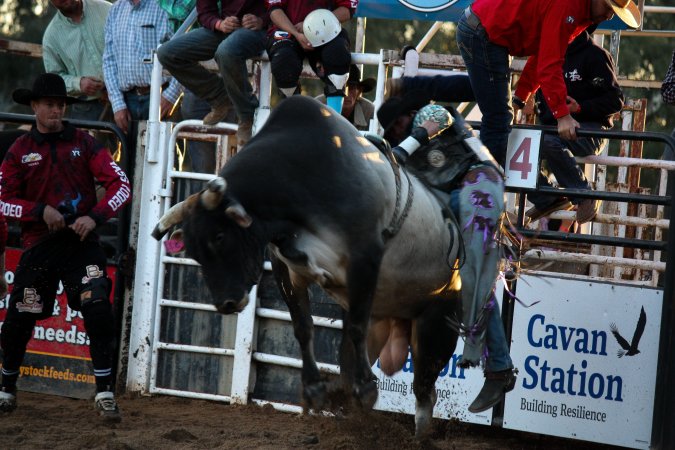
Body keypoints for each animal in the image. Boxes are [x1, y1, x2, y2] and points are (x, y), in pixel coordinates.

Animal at [152, 96, 463, 437]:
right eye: (194, 251)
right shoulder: (283, 266)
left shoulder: (365, 256)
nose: (226, 303)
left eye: (219, 236)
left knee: (424, 388)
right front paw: (314, 390)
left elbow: (356, 325)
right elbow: (303, 326)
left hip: (439, 321)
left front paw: (366, 388)